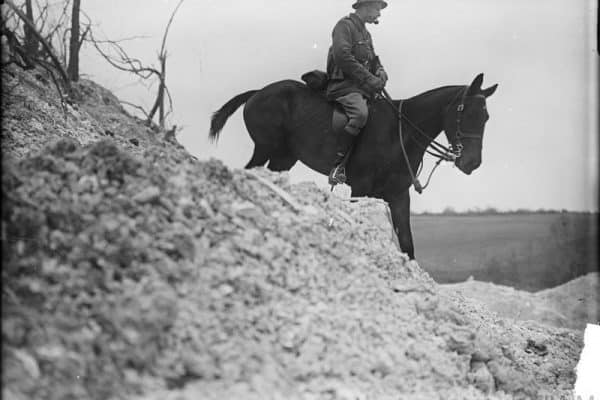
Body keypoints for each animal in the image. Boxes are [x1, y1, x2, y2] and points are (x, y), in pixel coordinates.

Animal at [209, 73, 500, 260]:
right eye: (466, 112)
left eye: (485, 117)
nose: (472, 162)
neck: (400, 133)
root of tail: (257, 93)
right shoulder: (360, 189)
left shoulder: (398, 195)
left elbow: (407, 244)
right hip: (265, 149)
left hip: (283, 158)